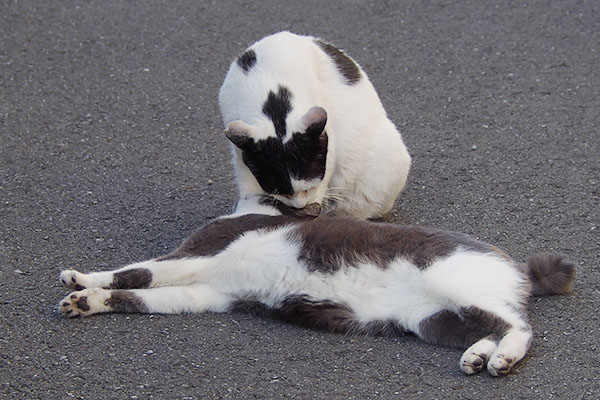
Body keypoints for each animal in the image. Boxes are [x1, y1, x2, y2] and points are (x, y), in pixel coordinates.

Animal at [58, 208, 576, 376]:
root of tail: (518, 267)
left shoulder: (200, 256)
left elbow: (136, 273)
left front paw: (81, 280)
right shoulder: (208, 293)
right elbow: (142, 296)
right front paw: (85, 300)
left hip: (450, 283)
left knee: (519, 325)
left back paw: (502, 359)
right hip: (434, 321)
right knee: (489, 326)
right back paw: (478, 357)